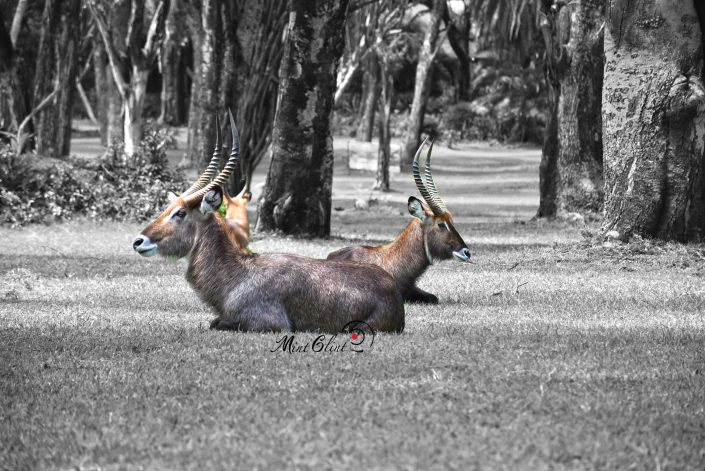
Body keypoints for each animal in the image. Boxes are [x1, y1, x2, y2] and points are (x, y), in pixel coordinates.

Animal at [134, 113, 404, 336]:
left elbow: (215, 323)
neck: (238, 274)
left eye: (180, 213)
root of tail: (392, 288)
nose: (139, 241)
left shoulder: (269, 323)